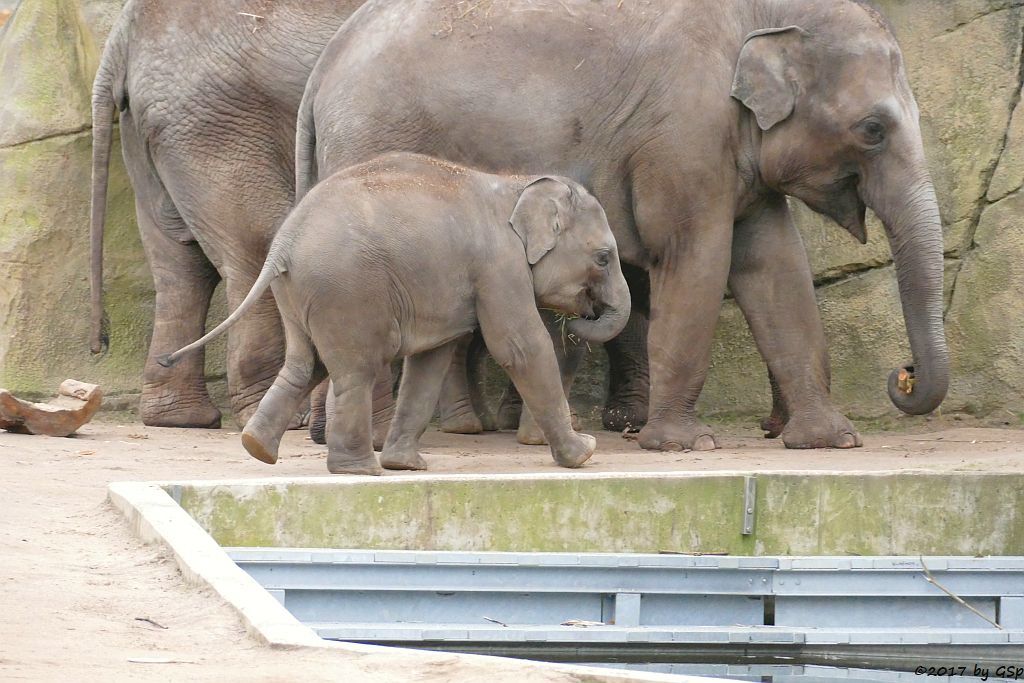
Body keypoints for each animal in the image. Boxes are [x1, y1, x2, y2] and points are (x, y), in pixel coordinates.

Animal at [157, 153, 630, 475]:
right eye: (604, 258)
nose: (585, 316)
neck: (516, 184)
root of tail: (283, 244)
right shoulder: (498, 266)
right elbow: (520, 347)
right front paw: (584, 453)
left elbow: (431, 361)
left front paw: (407, 466)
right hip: (345, 291)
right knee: (356, 370)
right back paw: (358, 470)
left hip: (297, 292)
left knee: (305, 364)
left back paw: (258, 448)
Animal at [299, 0, 950, 450]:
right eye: (873, 129)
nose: (903, 375)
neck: (764, 14)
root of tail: (324, 65)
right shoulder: (684, 130)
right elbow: (695, 257)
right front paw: (685, 446)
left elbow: (775, 266)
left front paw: (830, 440)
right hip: (375, 151)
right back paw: (380, 439)